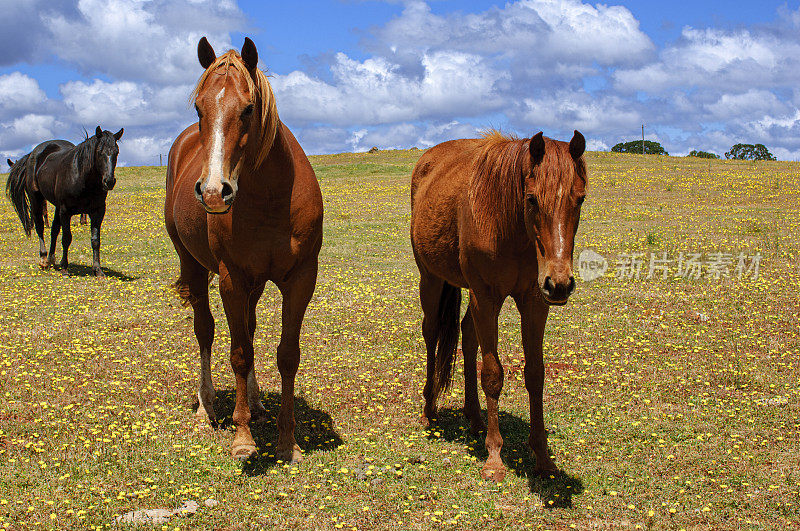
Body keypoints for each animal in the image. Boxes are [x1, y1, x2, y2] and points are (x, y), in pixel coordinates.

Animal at [4, 129, 122, 276]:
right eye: (100, 152)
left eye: (116, 152)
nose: (109, 181)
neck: (83, 178)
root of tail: (32, 154)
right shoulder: (65, 211)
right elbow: (66, 238)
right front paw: (65, 268)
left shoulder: (98, 211)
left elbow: (95, 240)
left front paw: (98, 270)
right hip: (36, 199)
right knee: (40, 227)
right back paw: (43, 259)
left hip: (57, 206)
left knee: (54, 229)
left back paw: (51, 259)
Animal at [165, 36, 322, 462]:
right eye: (199, 107)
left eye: (249, 108)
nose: (214, 192)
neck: (271, 198)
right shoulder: (232, 279)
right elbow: (238, 352)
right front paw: (243, 437)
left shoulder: (301, 278)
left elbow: (287, 355)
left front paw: (287, 441)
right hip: (195, 267)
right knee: (205, 331)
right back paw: (207, 407)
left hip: (256, 284)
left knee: (249, 328)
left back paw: (255, 401)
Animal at [412, 130, 588, 482]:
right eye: (532, 199)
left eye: (580, 199)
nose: (560, 283)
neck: (510, 227)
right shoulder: (488, 297)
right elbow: (492, 374)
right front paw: (494, 457)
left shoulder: (534, 302)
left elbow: (535, 374)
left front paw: (543, 457)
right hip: (432, 280)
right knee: (432, 333)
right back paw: (429, 409)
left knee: (467, 336)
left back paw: (475, 417)